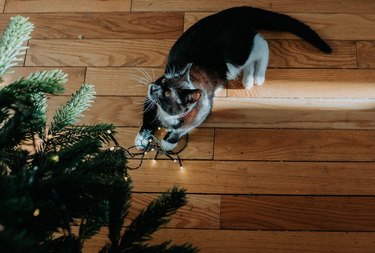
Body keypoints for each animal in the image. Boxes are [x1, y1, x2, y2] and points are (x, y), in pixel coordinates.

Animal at [135, 6, 332, 150]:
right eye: (162, 81)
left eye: (168, 94)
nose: (153, 86)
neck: (167, 115)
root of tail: (233, 12)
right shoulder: (150, 101)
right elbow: (147, 117)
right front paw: (142, 138)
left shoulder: (203, 109)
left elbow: (185, 128)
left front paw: (169, 142)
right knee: (253, 55)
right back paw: (249, 80)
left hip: (235, 53)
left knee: (262, 44)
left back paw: (259, 76)